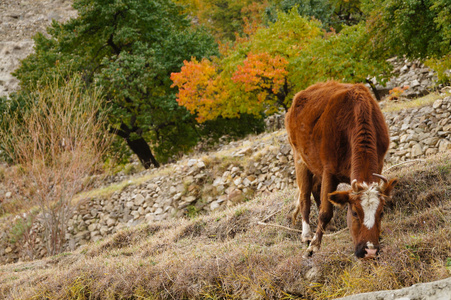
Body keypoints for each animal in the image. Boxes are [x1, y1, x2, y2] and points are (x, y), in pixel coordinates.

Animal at [288, 81, 398, 258]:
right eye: (354, 213)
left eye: (381, 213)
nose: (370, 251)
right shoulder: (329, 171)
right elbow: (325, 212)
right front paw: (314, 246)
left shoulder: (379, 163)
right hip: (299, 157)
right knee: (305, 197)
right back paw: (306, 235)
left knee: (316, 189)